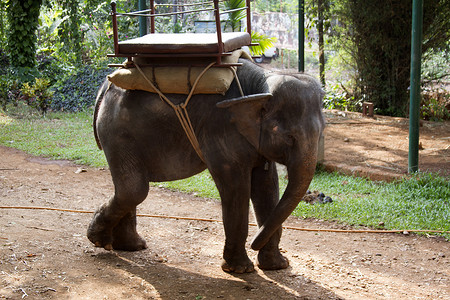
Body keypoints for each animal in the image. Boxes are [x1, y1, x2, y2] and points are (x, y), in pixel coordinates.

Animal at [88, 58, 326, 274]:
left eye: (322, 131)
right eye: (288, 137)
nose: (254, 244)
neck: (261, 83)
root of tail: (104, 86)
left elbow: (267, 185)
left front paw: (276, 266)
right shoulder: (220, 130)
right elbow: (236, 188)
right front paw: (241, 269)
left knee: (130, 188)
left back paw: (130, 246)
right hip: (118, 131)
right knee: (134, 189)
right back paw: (100, 240)